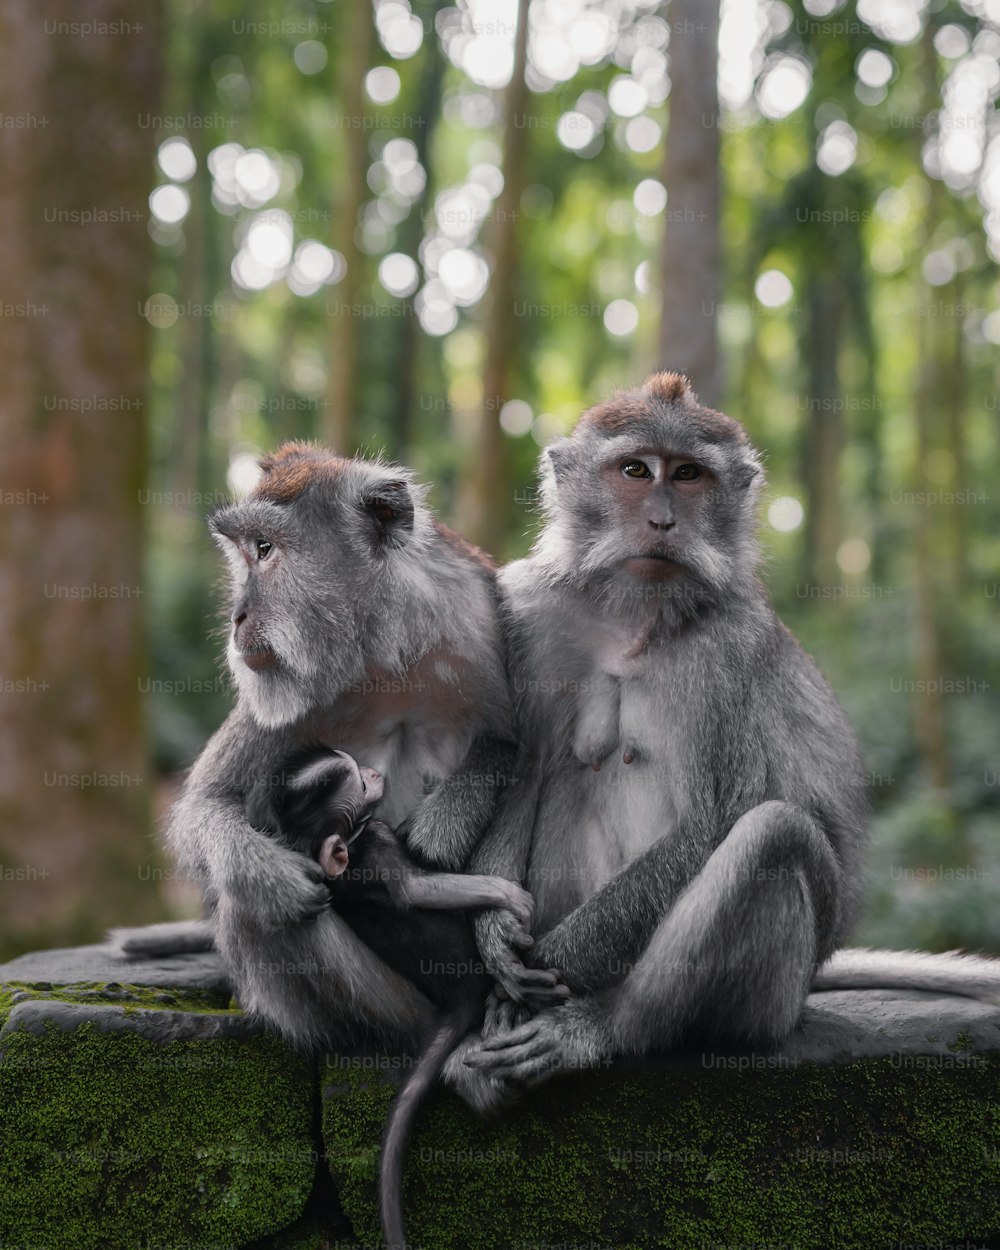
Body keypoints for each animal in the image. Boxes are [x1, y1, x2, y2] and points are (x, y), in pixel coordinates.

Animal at [247, 745, 567, 1250]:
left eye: (359, 767)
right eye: (358, 782)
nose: (375, 772)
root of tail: (458, 994)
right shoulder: (374, 845)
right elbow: (417, 889)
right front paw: (508, 895)